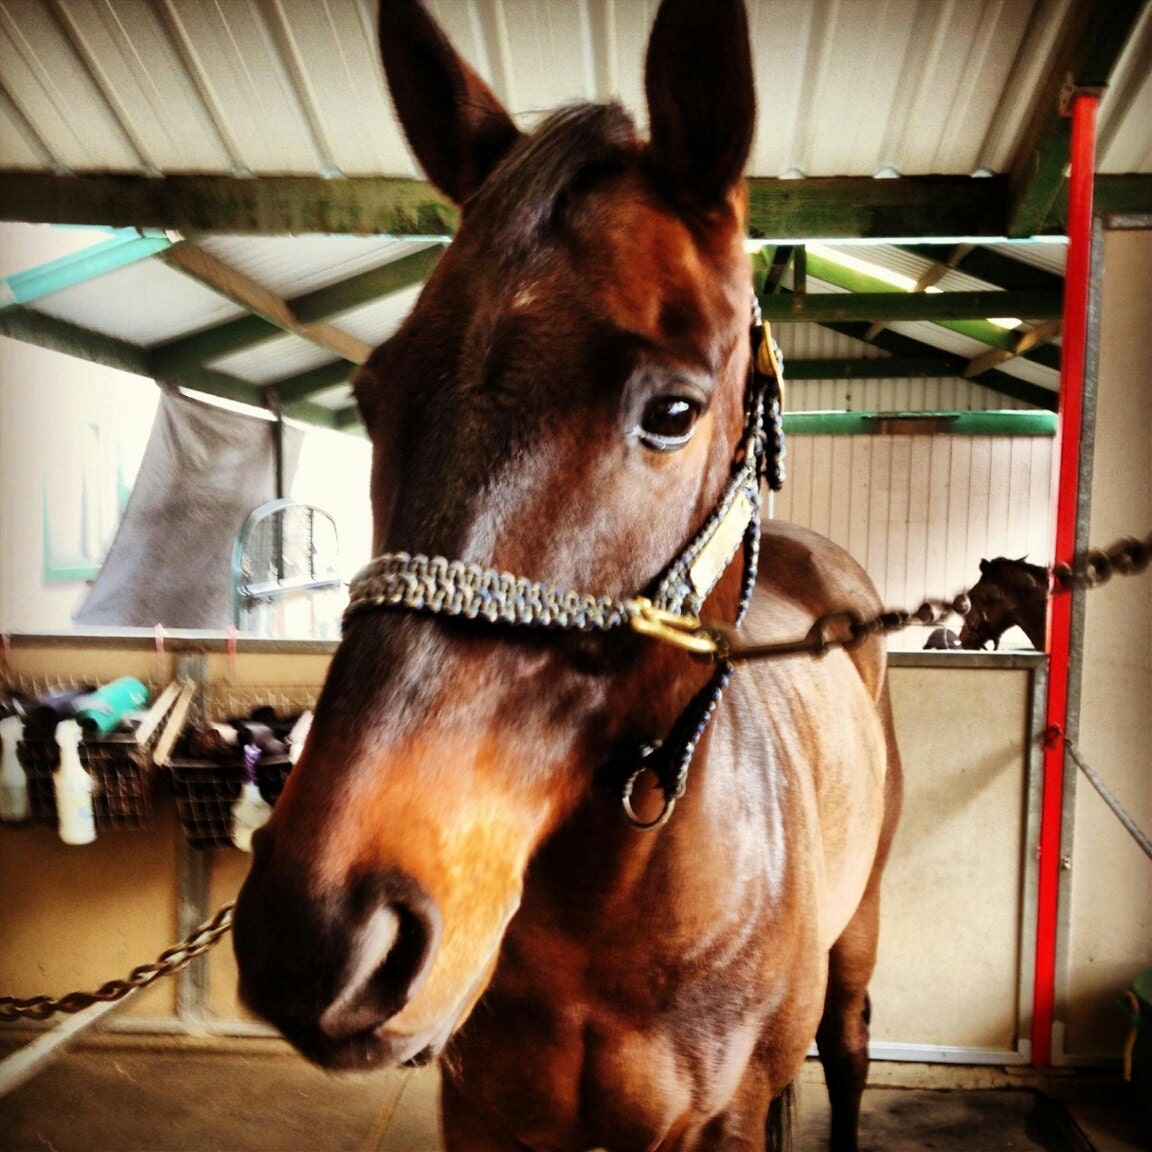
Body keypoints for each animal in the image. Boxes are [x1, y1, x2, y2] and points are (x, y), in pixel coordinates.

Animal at [232, 2, 902, 1149]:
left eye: (673, 411)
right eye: (371, 396)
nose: (315, 932)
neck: (608, 915)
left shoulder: (720, 1123)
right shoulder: (486, 1114)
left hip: (857, 939)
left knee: (849, 1056)